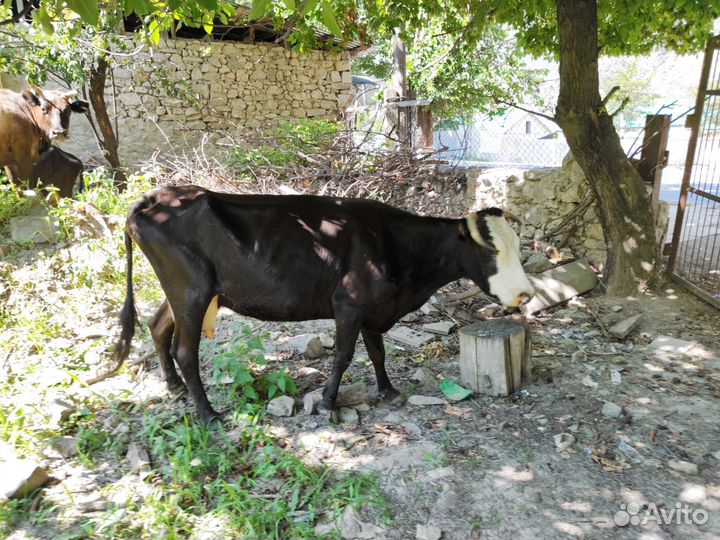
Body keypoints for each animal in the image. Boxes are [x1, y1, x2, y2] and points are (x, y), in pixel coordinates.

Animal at [114, 186, 535, 424]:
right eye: (491, 250)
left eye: (517, 246)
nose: (525, 294)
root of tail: (152, 198)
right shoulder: (348, 302)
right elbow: (344, 355)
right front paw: (328, 404)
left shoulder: (374, 308)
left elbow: (377, 352)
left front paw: (388, 390)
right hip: (192, 292)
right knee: (186, 350)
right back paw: (207, 414)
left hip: (182, 290)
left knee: (157, 326)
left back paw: (173, 386)